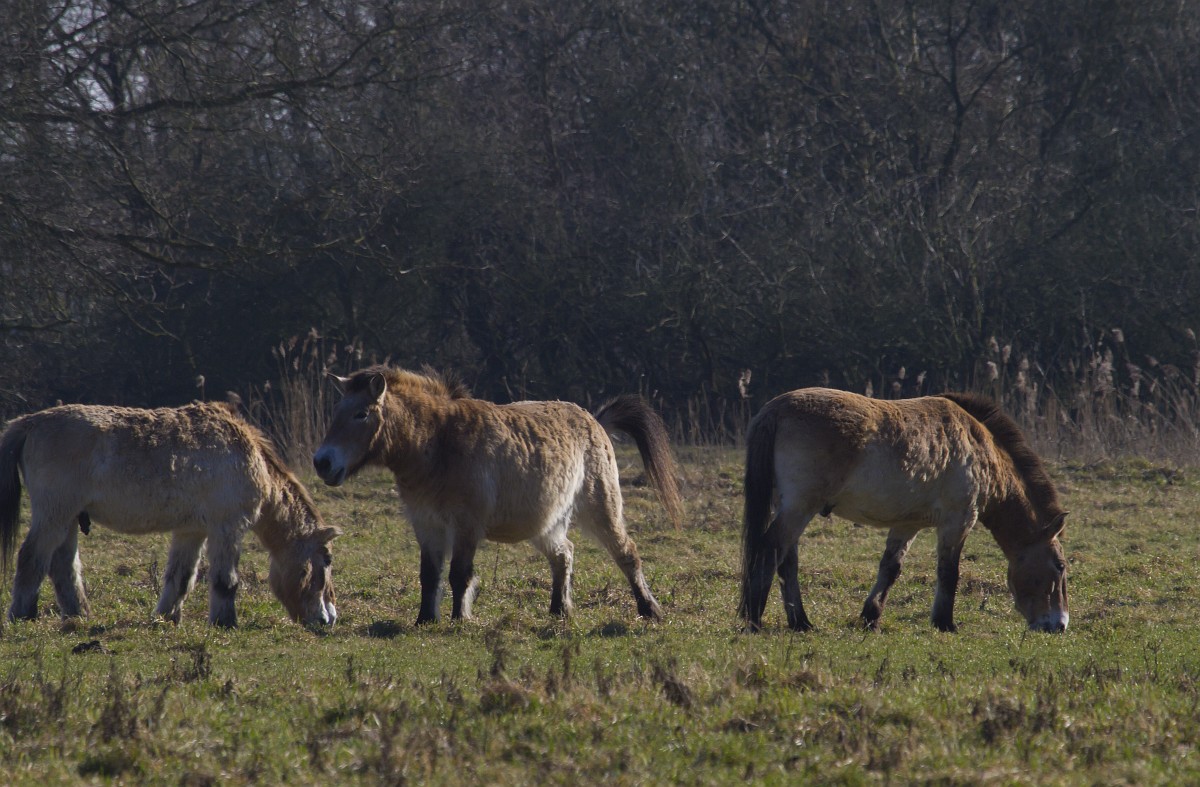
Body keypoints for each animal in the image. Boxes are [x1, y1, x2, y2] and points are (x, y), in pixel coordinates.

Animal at [0, 401, 339, 628]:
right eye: (325, 562)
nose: (329, 619)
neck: (248, 455)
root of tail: (30, 423)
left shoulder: (191, 532)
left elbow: (181, 578)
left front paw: (166, 617)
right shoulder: (227, 528)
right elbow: (226, 580)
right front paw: (225, 622)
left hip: (68, 519)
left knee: (63, 567)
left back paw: (79, 615)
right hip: (54, 516)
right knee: (31, 558)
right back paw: (23, 614)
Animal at [312, 366, 683, 625]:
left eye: (361, 413)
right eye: (336, 413)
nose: (322, 462)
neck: (438, 443)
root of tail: (596, 420)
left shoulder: (466, 525)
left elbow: (459, 574)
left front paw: (460, 619)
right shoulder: (427, 524)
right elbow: (429, 575)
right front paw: (424, 620)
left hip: (600, 506)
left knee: (626, 553)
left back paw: (649, 609)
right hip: (546, 523)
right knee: (564, 555)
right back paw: (559, 610)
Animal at [739, 388, 1069, 634]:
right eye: (1060, 566)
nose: (1059, 624)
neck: (977, 444)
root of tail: (776, 409)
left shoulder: (907, 525)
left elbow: (890, 569)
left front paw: (871, 618)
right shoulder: (958, 520)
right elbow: (949, 572)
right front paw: (944, 623)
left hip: (790, 507)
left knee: (786, 561)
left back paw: (800, 622)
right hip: (799, 507)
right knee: (770, 551)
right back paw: (754, 619)